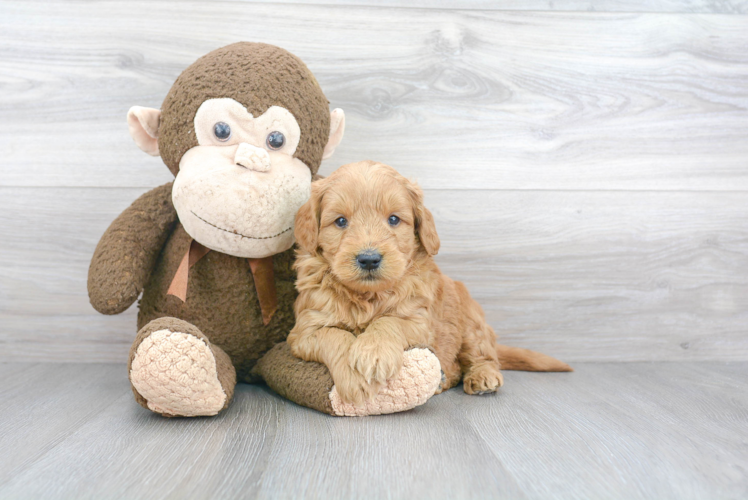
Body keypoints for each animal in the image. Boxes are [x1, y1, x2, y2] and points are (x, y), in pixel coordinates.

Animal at [288, 161, 572, 406]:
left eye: (393, 219)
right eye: (340, 221)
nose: (369, 259)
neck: (368, 296)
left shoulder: (419, 322)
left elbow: (389, 321)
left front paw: (374, 352)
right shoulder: (305, 330)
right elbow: (333, 334)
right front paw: (355, 377)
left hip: (472, 322)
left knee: (483, 355)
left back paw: (483, 377)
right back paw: (441, 381)